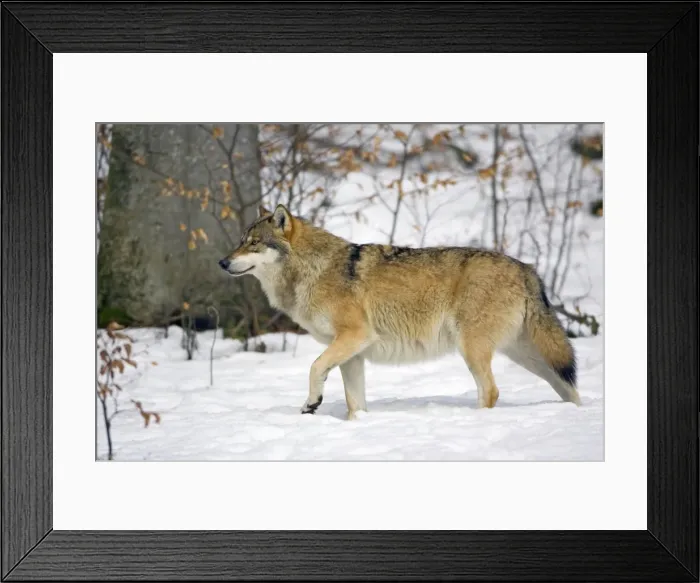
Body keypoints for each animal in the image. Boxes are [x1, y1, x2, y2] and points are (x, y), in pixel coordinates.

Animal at [219, 204, 581, 420]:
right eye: (240, 241)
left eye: (253, 243)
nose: (222, 262)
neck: (314, 269)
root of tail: (527, 268)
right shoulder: (353, 355)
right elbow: (355, 403)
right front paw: (355, 425)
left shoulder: (354, 336)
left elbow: (314, 367)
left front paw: (311, 403)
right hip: (529, 357)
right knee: (568, 387)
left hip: (473, 349)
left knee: (491, 391)